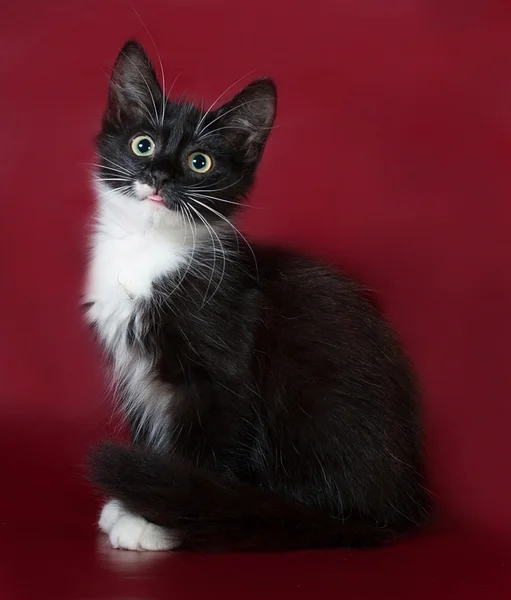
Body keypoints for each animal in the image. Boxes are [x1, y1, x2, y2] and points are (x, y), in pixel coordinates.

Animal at [85, 39, 432, 552]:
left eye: (200, 162)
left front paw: (156, 518)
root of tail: (396, 510)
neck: (148, 252)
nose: (160, 176)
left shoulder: (221, 371)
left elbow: (205, 446)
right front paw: (138, 501)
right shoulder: (135, 371)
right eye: (142, 144)